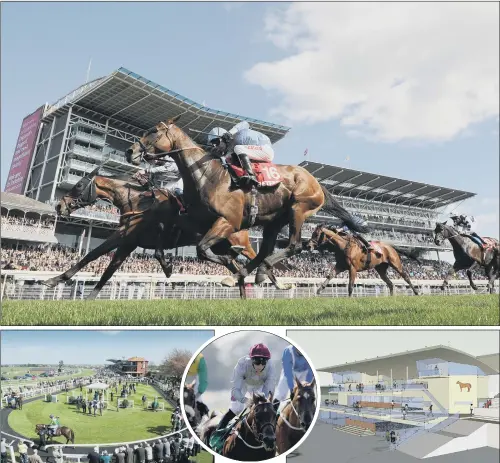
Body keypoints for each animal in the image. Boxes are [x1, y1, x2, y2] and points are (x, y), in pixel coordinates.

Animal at [41, 169, 272, 300]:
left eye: (79, 185)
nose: (60, 206)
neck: (137, 202)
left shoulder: (135, 238)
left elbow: (113, 266)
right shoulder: (123, 237)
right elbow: (93, 258)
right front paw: (55, 281)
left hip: (242, 244)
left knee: (260, 259)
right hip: (218, 245)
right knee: (235, 266)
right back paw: (241, 296)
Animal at [125, 116, 368, 290]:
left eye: (154, 131)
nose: (130, 151)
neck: (208, 175)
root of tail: (315, 181)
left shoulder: (227, 221)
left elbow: (203, 249)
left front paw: (230, 259)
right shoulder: (197, 223)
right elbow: (195, 249)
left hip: (298, 209)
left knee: (294, 245)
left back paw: (258, 269)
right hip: (274, 220)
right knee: (264, 250)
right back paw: (249, 273)